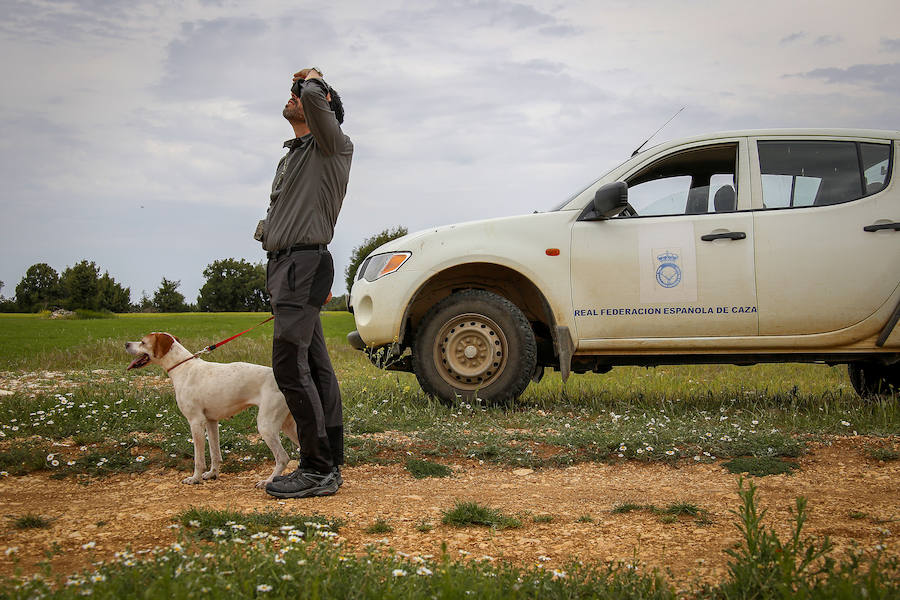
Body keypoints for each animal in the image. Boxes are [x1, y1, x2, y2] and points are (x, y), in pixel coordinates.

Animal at [123, 332, 298, 488]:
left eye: (143, 342)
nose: (126, 344)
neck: (183, 367)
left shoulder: (195, 422)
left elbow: (199, 459)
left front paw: (195, 479)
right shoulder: (211, 421)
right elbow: (215, 454)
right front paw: (212, 474)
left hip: (266, 426)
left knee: (283, 458)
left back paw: (268, 481)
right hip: (287, 426)